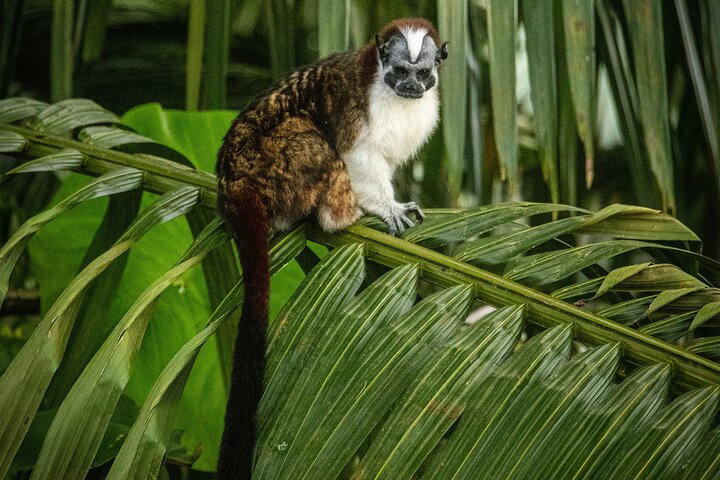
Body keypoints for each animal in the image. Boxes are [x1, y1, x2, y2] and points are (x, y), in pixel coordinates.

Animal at [214, 18, 448, 479]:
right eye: (400, 71)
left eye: (422, 72)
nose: (412, 87)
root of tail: (235, 184)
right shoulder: (357, 107)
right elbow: (356, 155)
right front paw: (388, 208)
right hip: (276, 167)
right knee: (316, 142)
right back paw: (341, 216)